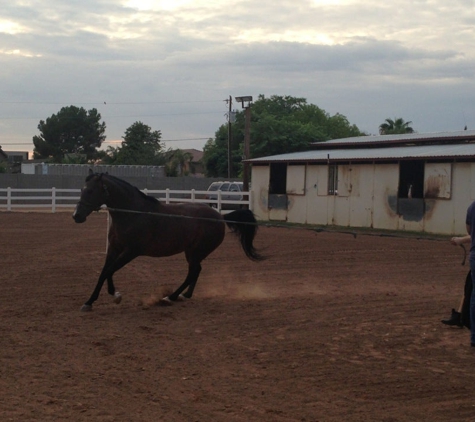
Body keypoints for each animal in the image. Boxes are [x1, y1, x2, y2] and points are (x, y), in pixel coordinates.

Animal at [72, 170, 264, 312]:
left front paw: (115, 295)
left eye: (90, 191)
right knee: (196, 271)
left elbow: (110, 270)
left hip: (196, 252)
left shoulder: (131, 252)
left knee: (193, 272)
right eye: (81, 190)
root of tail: (220, 217)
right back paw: (184, 295)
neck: (133, 214)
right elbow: (104, 272)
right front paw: (89, 302)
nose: (76, 216)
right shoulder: (114, 248)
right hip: (192, 252)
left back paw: (169, 297)